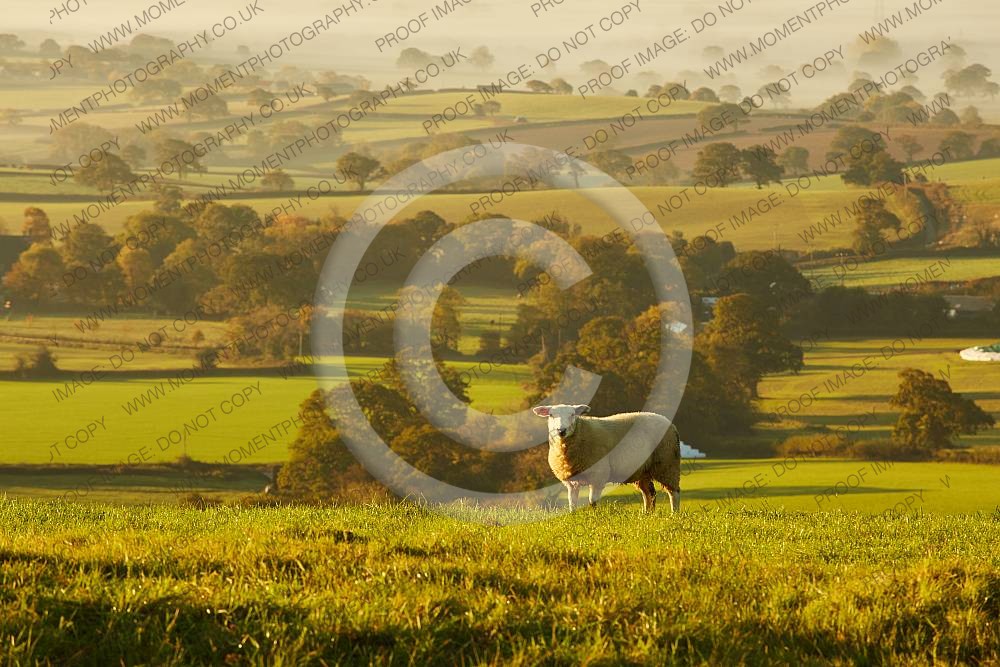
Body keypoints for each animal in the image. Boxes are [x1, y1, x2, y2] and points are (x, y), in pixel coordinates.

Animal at [532, 404, 681, 513]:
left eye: (572, 414)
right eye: (551, 415)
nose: (561, 431)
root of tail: (670, 424)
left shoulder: (598, 475)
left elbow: (592, 501)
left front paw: (595, 516)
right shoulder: (571, 482)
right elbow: (572, 503)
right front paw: (573, 516)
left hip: (667, 463)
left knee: (673, 492)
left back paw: (674, 514)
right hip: (642, 470)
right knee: (650, 493)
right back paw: (647, 514)